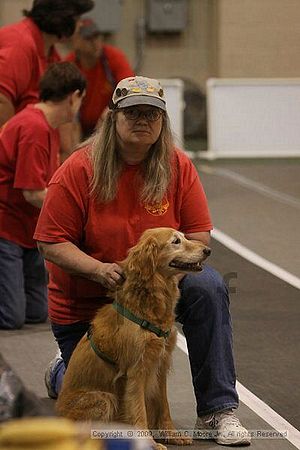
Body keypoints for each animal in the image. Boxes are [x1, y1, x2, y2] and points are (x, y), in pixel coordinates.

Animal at [56, 229, 211, 450]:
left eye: (185, 237)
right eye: (176, 241)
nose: (207, 250)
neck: (147, 307)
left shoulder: (160, 365)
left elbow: (163, 405)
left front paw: (171, 434)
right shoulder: (136, 371)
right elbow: (139, 411)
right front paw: (149, 442)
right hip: (103, 398)